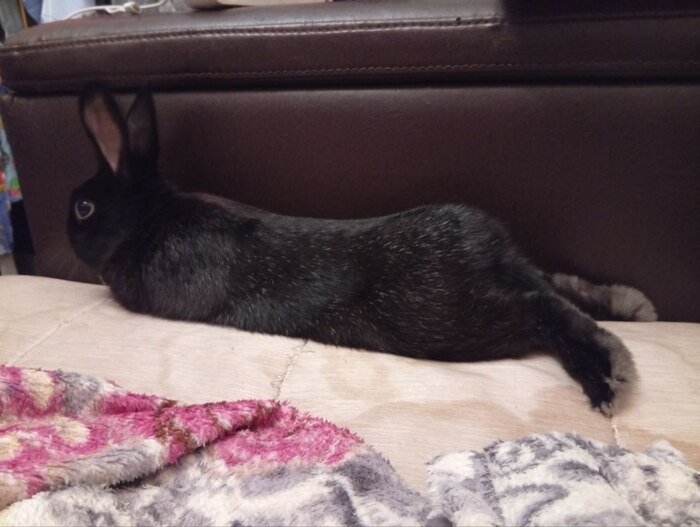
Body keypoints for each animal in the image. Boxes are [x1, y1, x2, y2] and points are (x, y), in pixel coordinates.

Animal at [68, 85, 656, 414]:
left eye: (84, 209)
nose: (68, 229)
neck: (148, 217)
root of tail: (488, 242)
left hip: (455, 321)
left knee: (543, 309)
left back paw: (608, 377)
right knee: (556, 286)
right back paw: (633, 308)